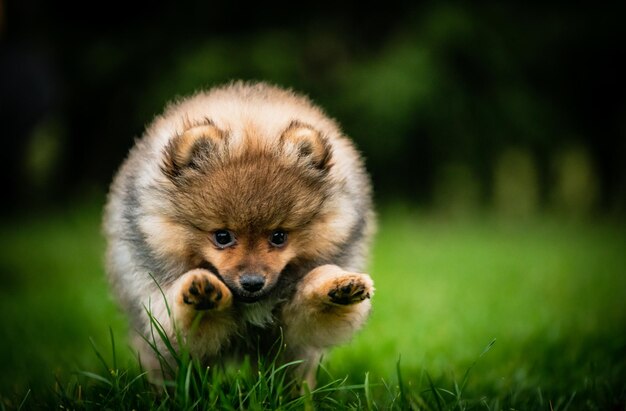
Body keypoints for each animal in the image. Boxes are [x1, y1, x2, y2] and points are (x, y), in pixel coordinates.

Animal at [103, 80, 376, 386]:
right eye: (222, 236)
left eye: (279, 237)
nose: (252, 282)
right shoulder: (163, 309)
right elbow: (182, 321)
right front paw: (201, 290)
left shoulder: (292, 329)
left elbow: (311, 297)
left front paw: (339, 285)